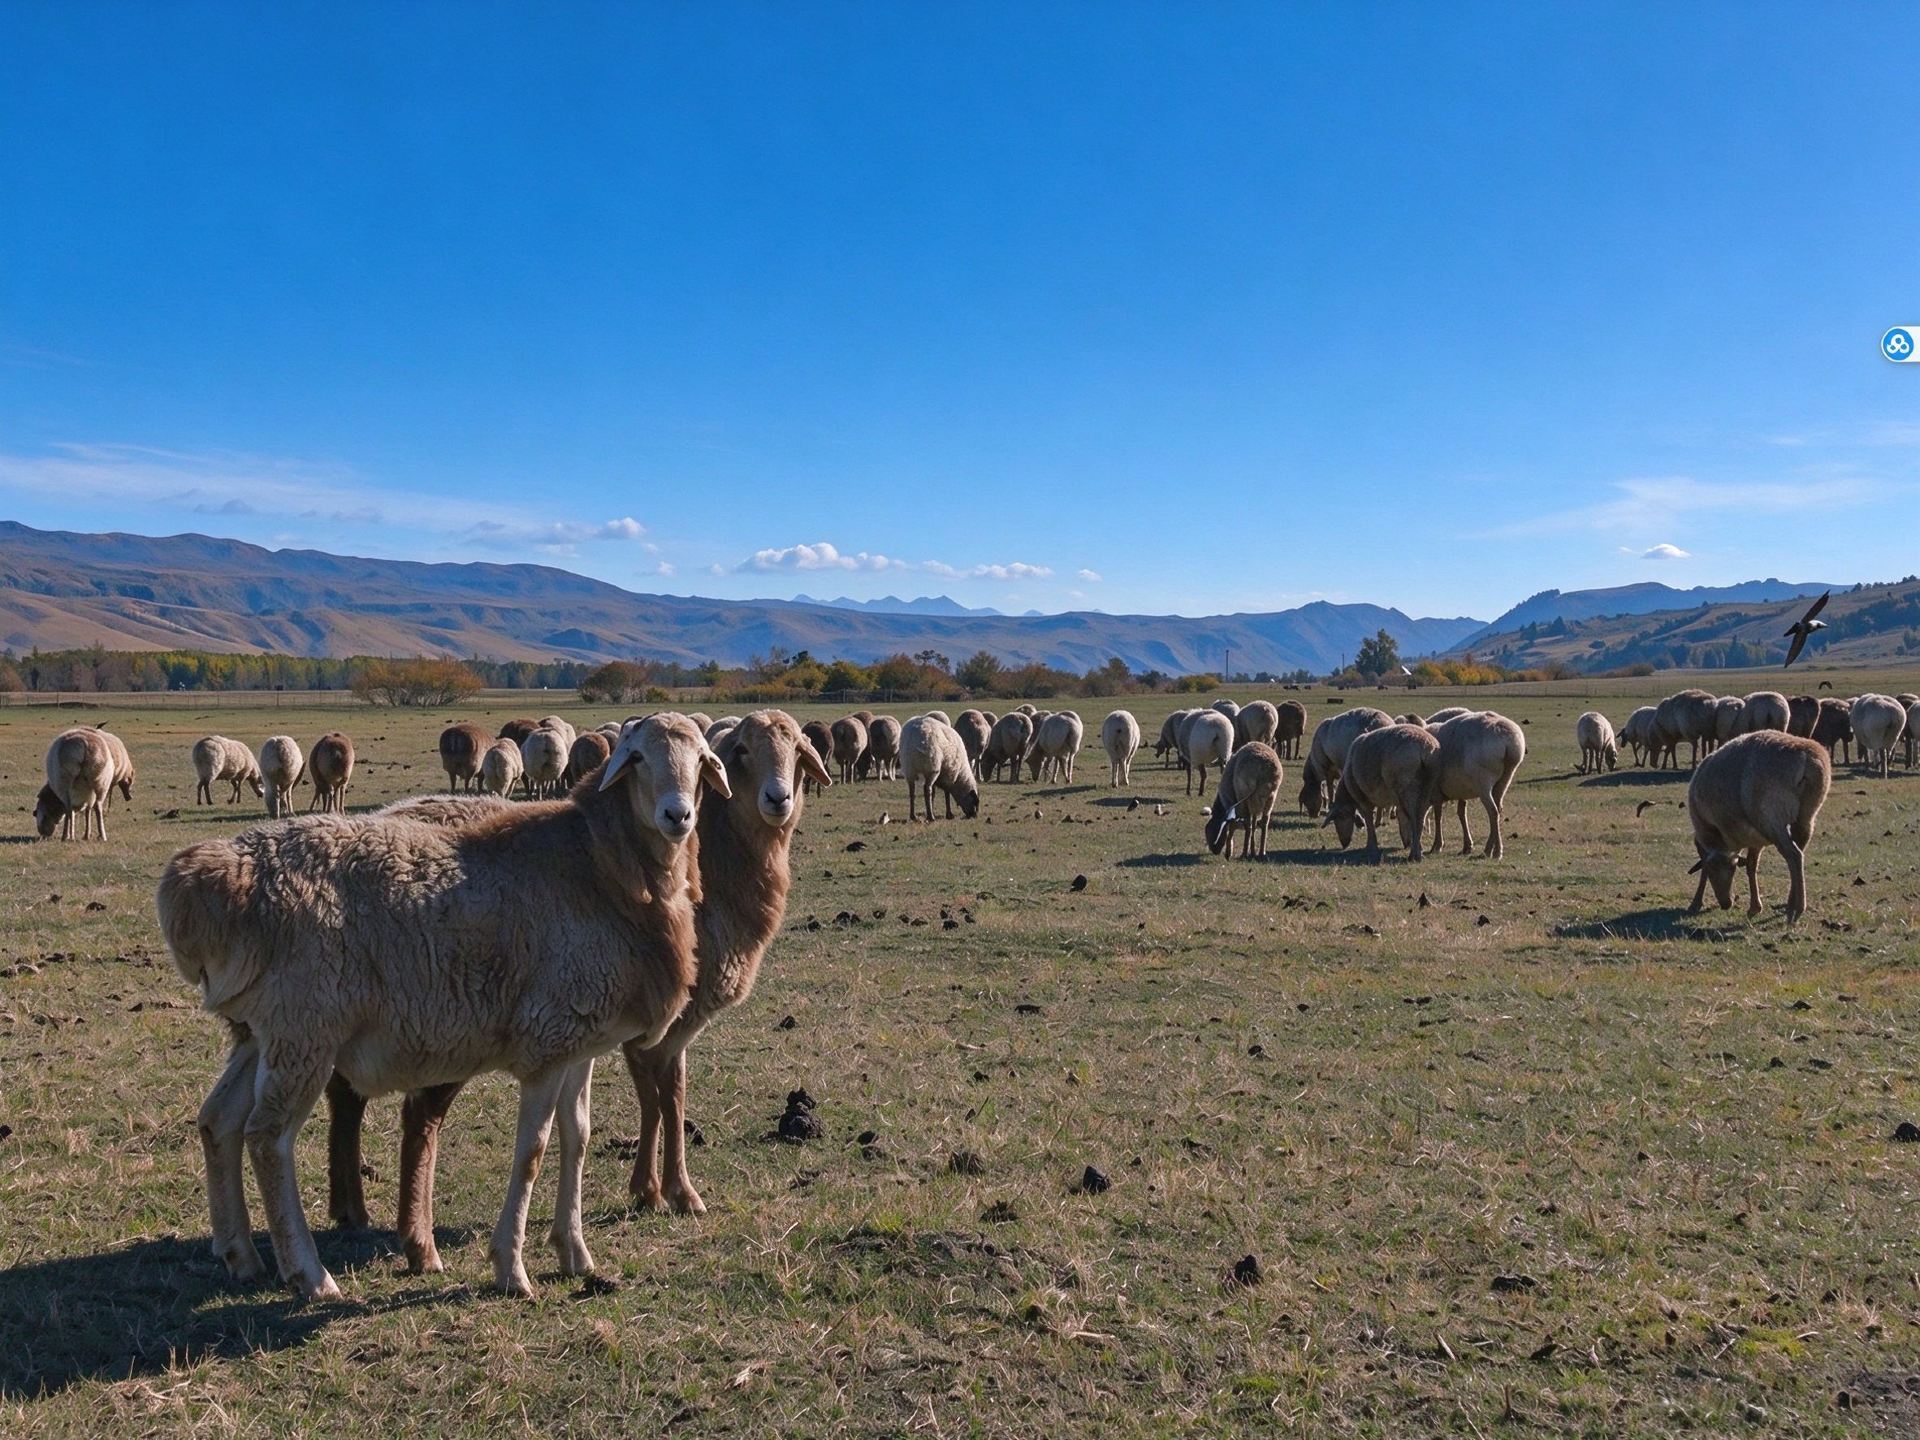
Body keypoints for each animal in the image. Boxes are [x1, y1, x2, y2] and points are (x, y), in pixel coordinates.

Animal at [156, 714, 721, 1299]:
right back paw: (310, 1275)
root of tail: (210, 877)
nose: (678, 815)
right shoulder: (546, 1040)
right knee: (267, 1137)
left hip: (263, 1032)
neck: (602, 866)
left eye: (702, 761)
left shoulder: (579, 1038)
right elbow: (533, 1151)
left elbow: (578, 1138)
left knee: (218, 1120)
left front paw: (575, 1254)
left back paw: (240, 1253)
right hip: (305, 1030)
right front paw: (512, 1269)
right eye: (636, 759)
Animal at [1325, 725, 1439, 860]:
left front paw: (1371, 846)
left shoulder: (1363, 800)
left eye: (1339, 818)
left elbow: (1369, 820)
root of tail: (1425, 747)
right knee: (1421, 817)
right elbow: (1403, 818)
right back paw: (1417, 851)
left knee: (1415, 819)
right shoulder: (1397, 801)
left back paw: (1414, 854)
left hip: (1408, 788)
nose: (1344, 844)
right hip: (1428, 786)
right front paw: (1408, 841)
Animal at [1425, 710, 1526, 859]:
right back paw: (1491, 848)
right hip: (1506, 777)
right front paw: (1467, 846)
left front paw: (1437, 845)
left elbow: (1438, 815)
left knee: (1493, 811)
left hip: (1483, 782)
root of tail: (1508, 739)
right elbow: (1461, 813)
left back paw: (1494, 851)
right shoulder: (1461, 790)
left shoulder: (1436, 791)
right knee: (1498, 809)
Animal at [1685, 730, 1830, 922]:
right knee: (1800, 849)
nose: (1726, 904)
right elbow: (1751, 866)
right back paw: (1790, 903)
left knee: (1793, 854)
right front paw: (1755, 907)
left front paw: (1696, 902)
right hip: (1806, 815)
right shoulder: (1753, 837)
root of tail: (1806, 759)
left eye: (1729, 870)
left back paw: (1796, 910)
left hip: (1771, 817)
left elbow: (1706, 869)